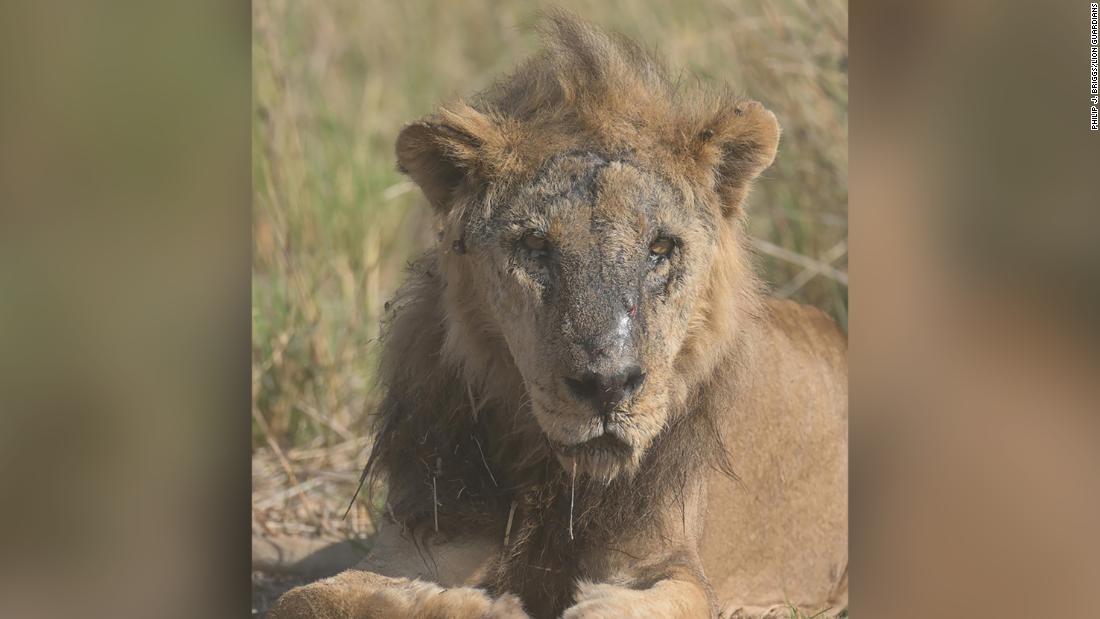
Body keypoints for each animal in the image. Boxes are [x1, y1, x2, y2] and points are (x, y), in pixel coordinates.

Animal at [270, 12, 847, 619]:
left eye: (661, 248)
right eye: (535, 246)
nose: (607, 386)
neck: (553, 476)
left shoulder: (671, 566)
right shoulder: (420, 538)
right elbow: (310, 598)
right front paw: (488, 606)